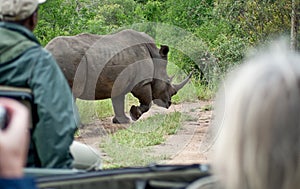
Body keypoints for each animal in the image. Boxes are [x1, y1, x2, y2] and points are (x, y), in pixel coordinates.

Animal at [45, 29, 191, 124]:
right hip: (67, 60)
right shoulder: (142, 82)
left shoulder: (118, 83)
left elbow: (118, 101)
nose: (169, 103)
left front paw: (122, 121)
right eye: (167, 82)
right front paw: (134, 115)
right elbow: (147, 103)